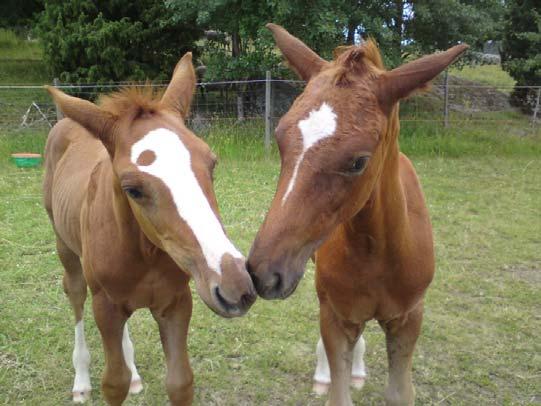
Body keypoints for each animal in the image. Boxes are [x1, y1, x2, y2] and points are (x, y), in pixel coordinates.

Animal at [42, 52, 255, 404]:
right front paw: (104, 380)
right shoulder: (105, 306)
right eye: (133, 189)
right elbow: (114, 383)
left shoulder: (177, 303)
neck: (145, 254)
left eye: (212, 164)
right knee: (74, 294)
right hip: (66, 250)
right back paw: (81, 381)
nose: (235, 287)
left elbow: (180, 382)